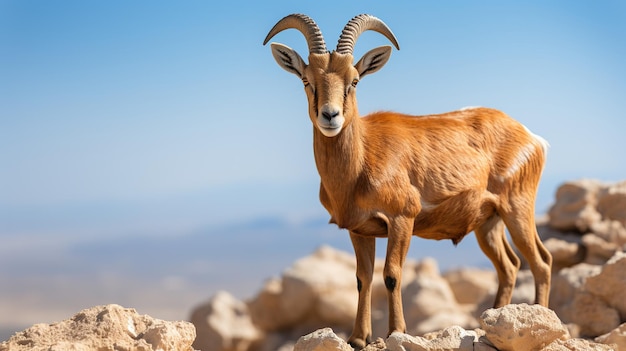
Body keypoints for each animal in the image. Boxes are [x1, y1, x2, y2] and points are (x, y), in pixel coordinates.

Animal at [264, 13, 552, 350]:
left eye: (354, 80)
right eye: (307, 80)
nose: (330, 115)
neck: (361, 162)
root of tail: (532, 138)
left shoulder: (402, 219)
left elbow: (392, 274)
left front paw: (396, 332)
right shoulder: (360, 230)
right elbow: (363, 278)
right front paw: (358, 337)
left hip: (517, 209)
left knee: (541, 261)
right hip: (489, 223)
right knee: (510, 266)